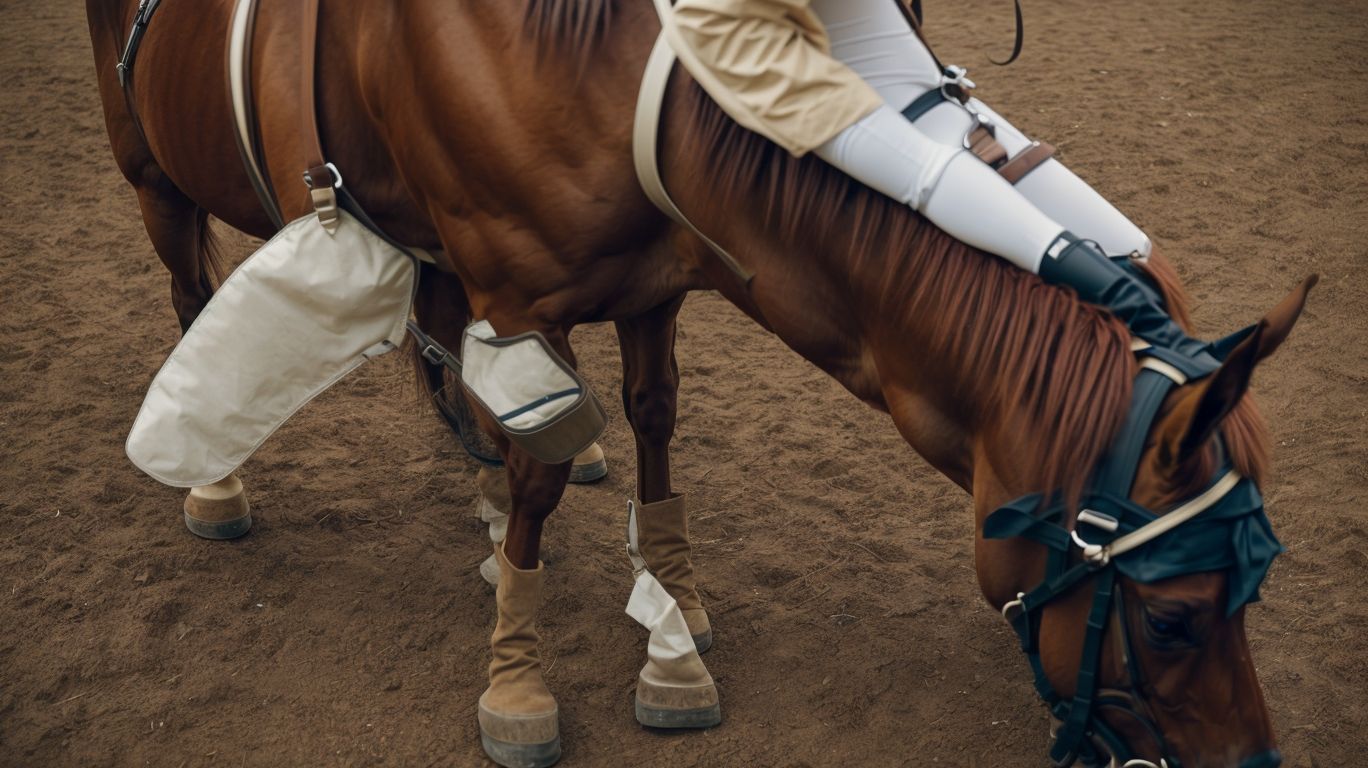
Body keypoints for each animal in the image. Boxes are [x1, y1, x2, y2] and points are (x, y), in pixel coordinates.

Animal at [85, 0, 1310, 765]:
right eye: (1174, 622)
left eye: (1252, 595)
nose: (1250, 759)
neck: (610, 65)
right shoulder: (517, 291)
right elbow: (541, 476)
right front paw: (519, 680)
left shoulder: (650, 280)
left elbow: (651, 420)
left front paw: (672, 616)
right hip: (149, 170)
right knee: (191, 286)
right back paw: (218, 488)